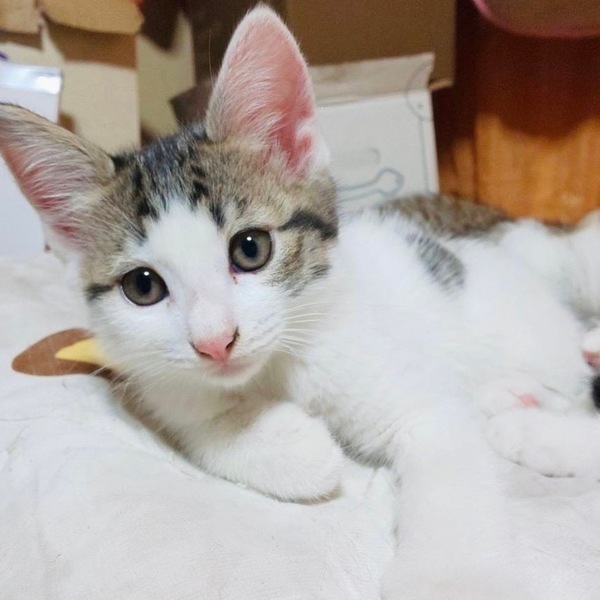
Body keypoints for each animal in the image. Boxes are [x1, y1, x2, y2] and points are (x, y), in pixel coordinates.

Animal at [2, 6, 600, 599]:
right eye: (142, 287)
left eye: (250, 248)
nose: (215, 342)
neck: (278, 363)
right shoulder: (165, 385)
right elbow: (205, 427)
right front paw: (293, 444)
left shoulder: (413, 399)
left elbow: (444, 453)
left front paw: (449, 578)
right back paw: (515, 400)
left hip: (567, 261)